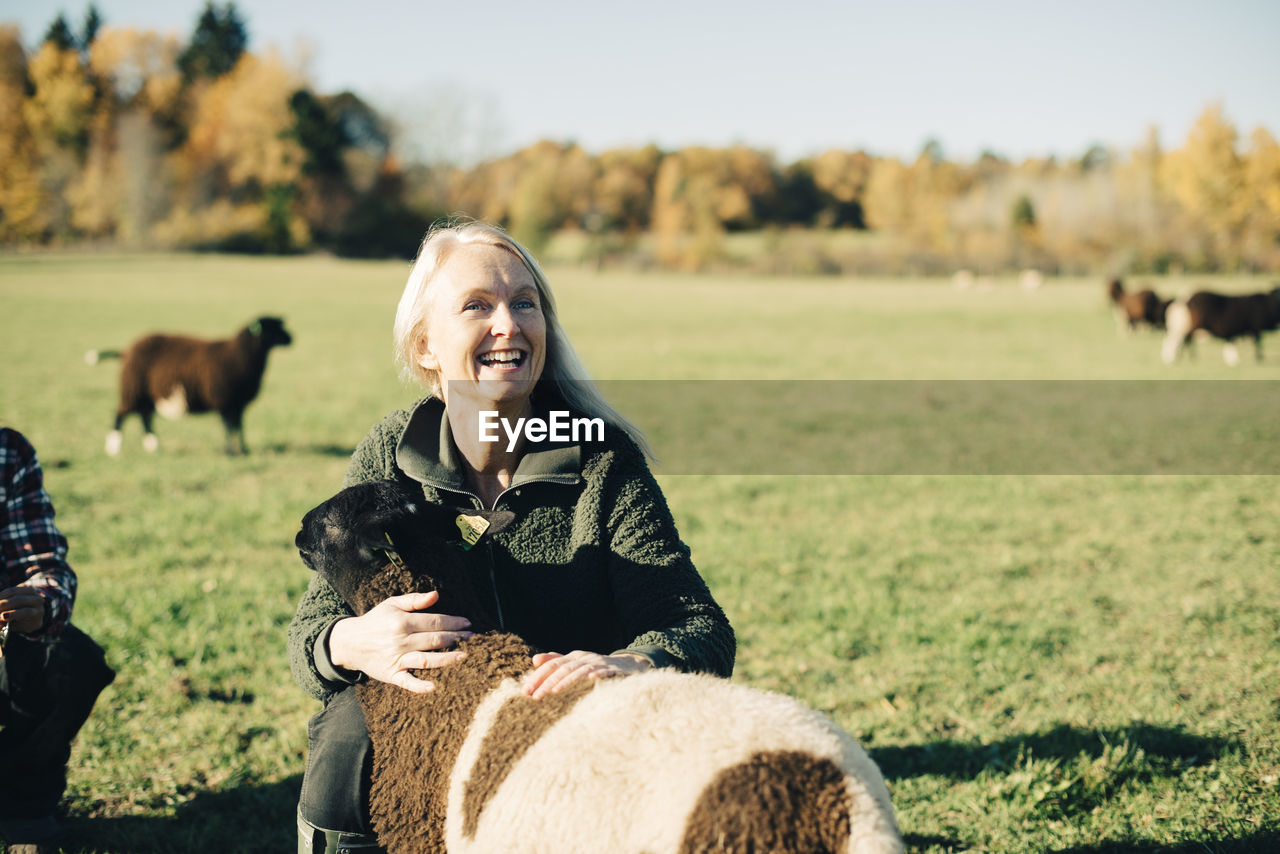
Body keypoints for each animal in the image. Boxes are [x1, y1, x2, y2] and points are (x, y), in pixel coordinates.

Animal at [90, 317, 293, 458]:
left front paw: (243, 450)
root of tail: (126, 351)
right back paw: (114, 449)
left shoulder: (238, 404)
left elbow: (239, 426)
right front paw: (230, 453)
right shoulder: (224, 402)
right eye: (272, 327)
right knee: (120, 415)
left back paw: (154, 447)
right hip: (132, 390)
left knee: (145, 417)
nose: (292, 338)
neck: (240, 355)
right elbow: (228, 427)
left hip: (145, 395)